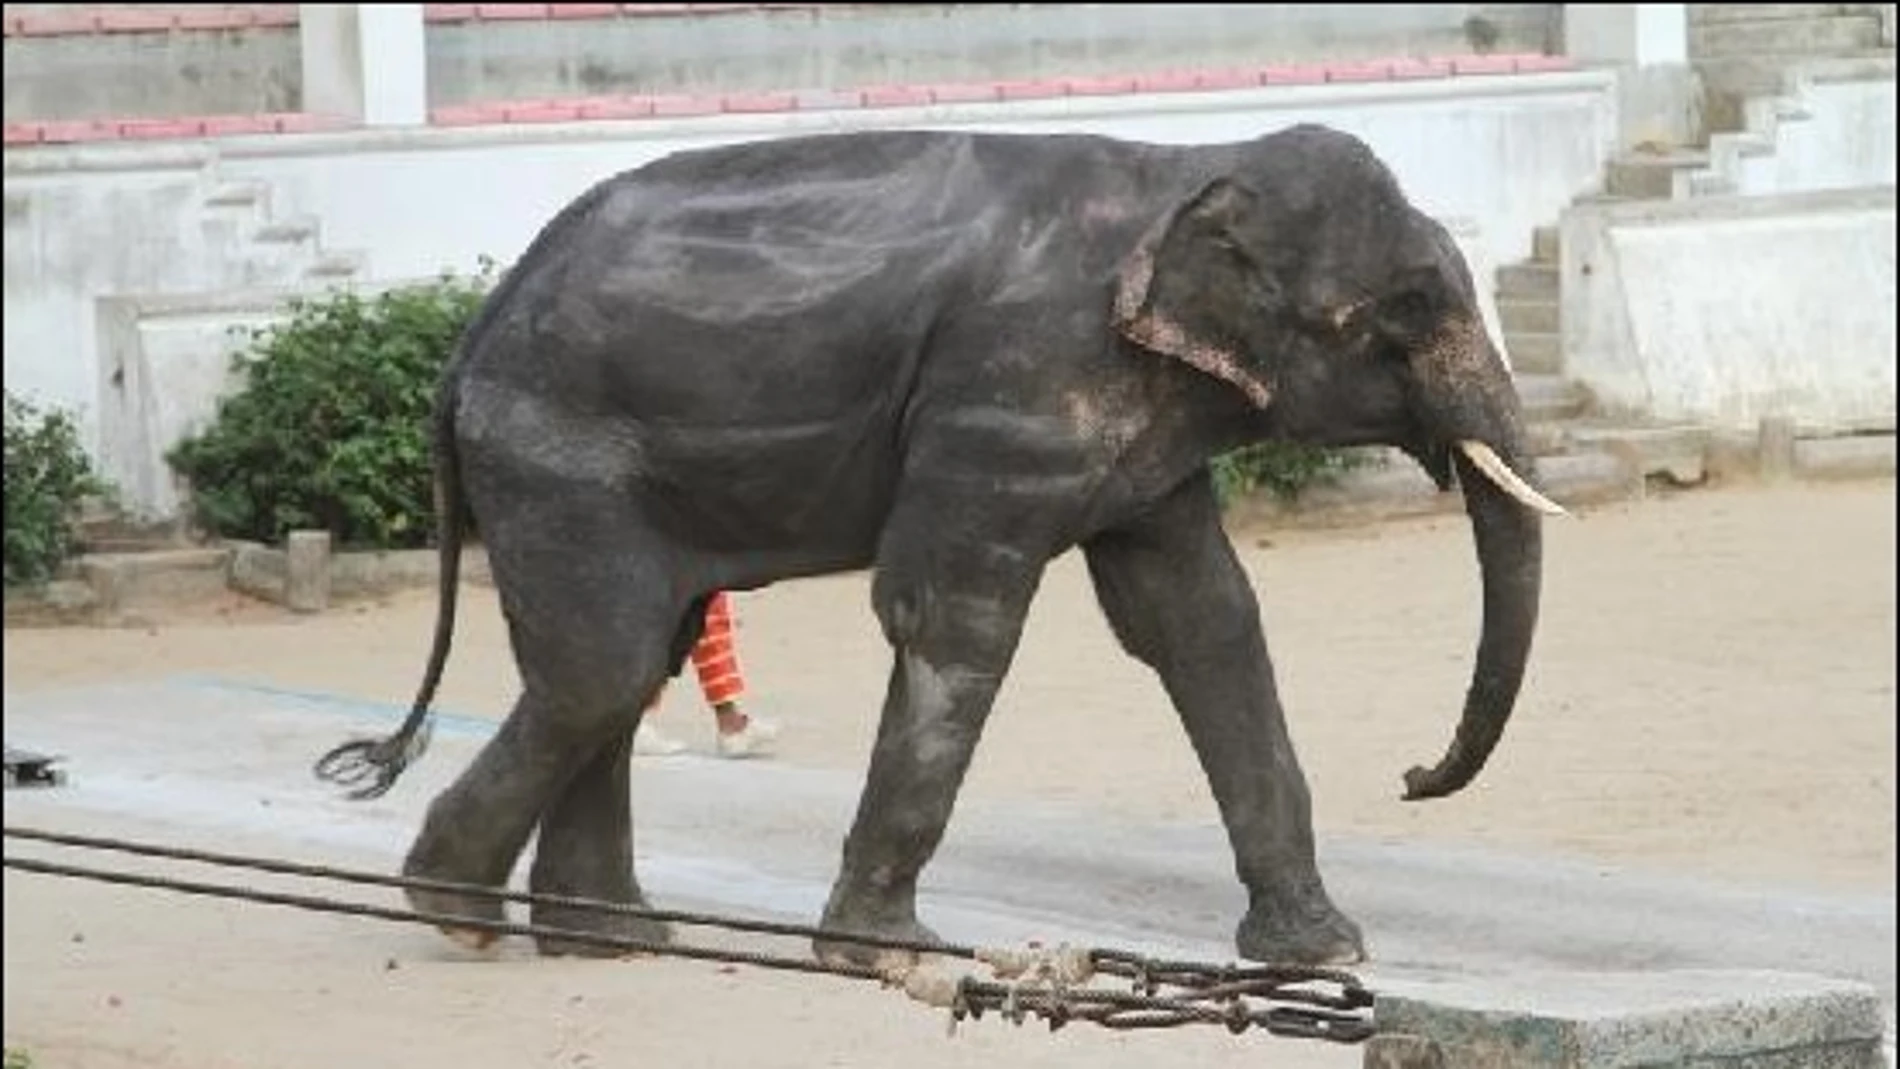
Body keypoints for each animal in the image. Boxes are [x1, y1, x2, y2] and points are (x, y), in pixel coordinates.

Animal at [314, 122, 1563, 968]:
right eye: (1402, 315)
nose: (1411, 776)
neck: (1181, 170)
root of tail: (468, 339)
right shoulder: (1010, 391)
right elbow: (955, 618)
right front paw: (885, 954)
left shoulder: (1138, 422)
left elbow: (1201, 619)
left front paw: (1327, 953)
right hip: (558, 457)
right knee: (602, 670)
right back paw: (461, 916)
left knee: (619, 672)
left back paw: (612, 940)